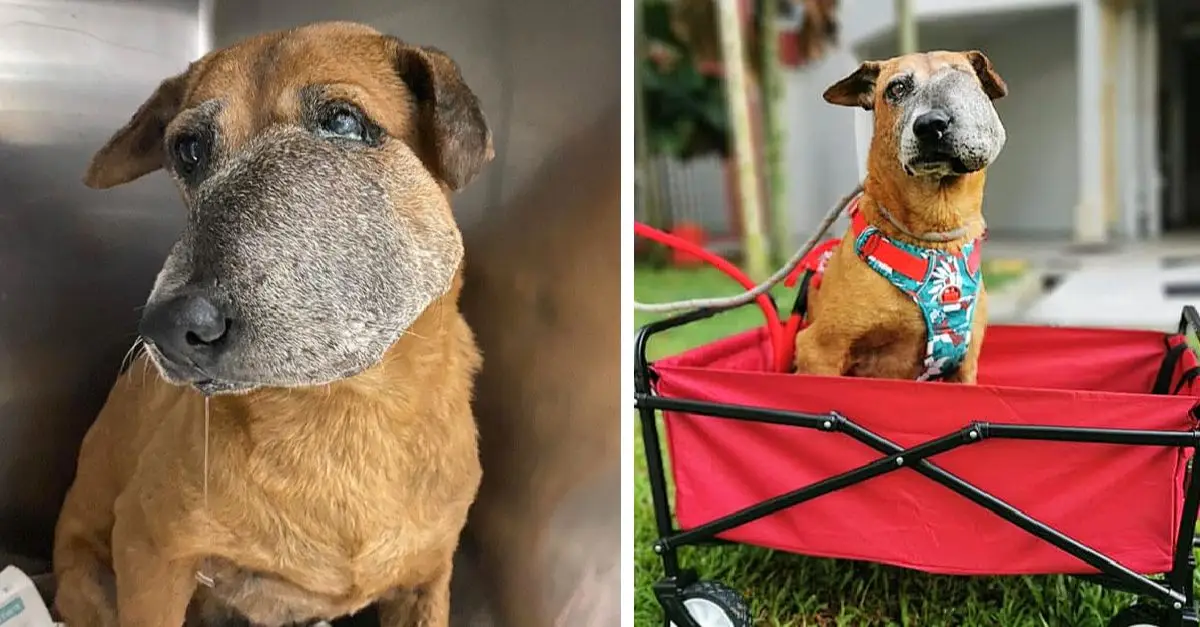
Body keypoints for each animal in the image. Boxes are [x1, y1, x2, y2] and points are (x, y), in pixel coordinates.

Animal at [51, 19, 492, 624]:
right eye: (188, 150)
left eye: (343, 122)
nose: (168, 327)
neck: (347, 414)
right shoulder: (150, 548)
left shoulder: (426, 579)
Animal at [792, 50, 1008, 379]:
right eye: (897, 89)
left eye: (961, 79)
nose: (931, 124)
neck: (935, 234)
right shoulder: (817, 351)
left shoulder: (965, 364)